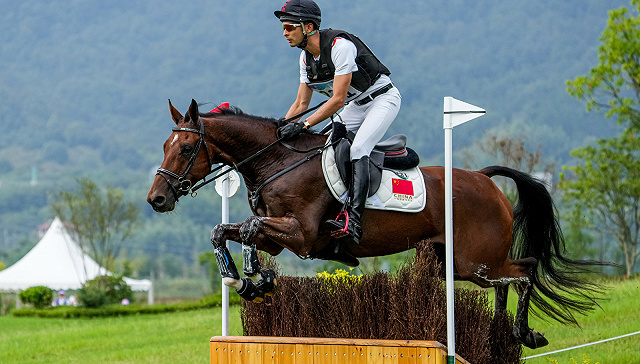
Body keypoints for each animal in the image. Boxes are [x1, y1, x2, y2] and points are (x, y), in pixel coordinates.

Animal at [148, 99, 604, 350]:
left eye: (185, 148)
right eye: (165, 144)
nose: (157, 199)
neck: (277, 161)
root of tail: (484, 179)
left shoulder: (300, 234)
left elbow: (244, 230)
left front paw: (254, 282)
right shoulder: (278, 235)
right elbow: (226, 232)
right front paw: (247, 280)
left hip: (475, 261)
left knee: (525, 270)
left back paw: (525, 334)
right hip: (456, 265)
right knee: (508, 280)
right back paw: (499, 334)